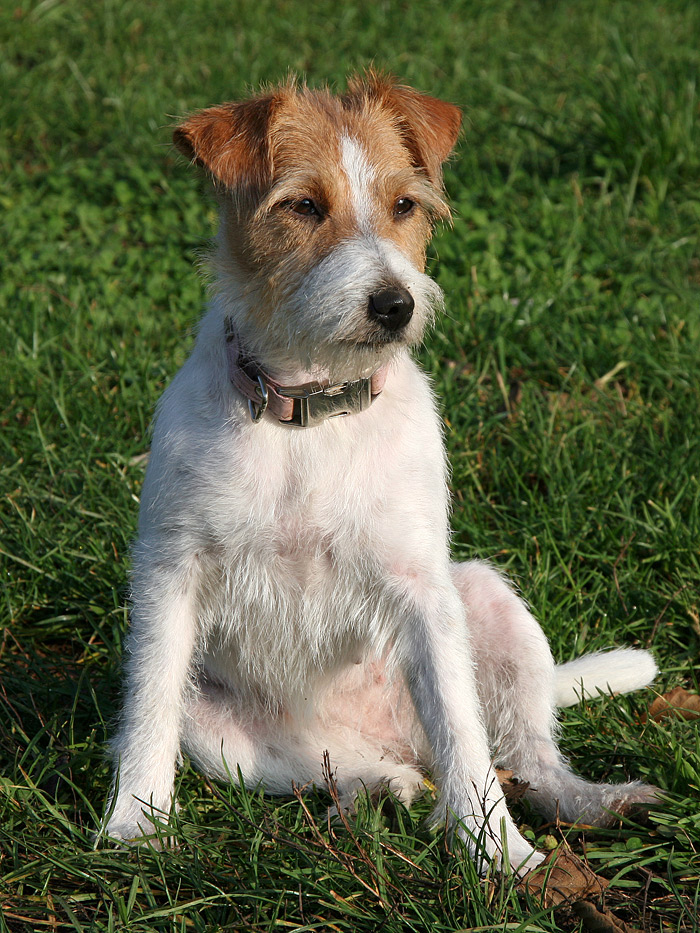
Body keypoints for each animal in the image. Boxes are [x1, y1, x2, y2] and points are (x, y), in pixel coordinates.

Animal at [101, 74, 660, 872]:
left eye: (404, 205)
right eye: (303, 206)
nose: (395, 305)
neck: (312, 408)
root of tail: (394, 735)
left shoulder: (421, 591)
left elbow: (465, 736)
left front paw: (500, 857)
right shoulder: (170, 572)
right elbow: (147, 707)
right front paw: (136, 827)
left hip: (489, 602)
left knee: (525, 758)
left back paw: (592, 801)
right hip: (219, 733)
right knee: (336, 766)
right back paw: (378, 789)